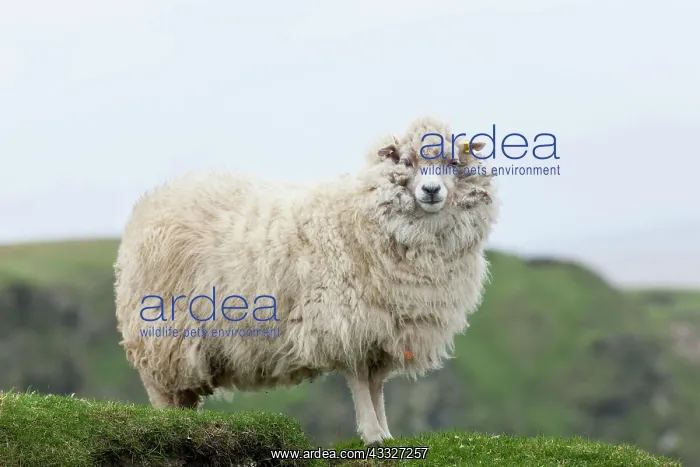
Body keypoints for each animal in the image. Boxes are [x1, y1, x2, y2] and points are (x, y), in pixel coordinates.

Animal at [114, 116, 499, 446]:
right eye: (405, 160)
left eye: (453, 163)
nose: (432, 191)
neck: (361, 217)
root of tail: (149, 203)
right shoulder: (344, 321)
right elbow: (360, 381)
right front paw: (372, 434)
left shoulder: (381, 328)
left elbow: (376, 385)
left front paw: (386, 434)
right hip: (162, 334)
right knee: (164, 392)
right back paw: (171, 426)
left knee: (185, 395)